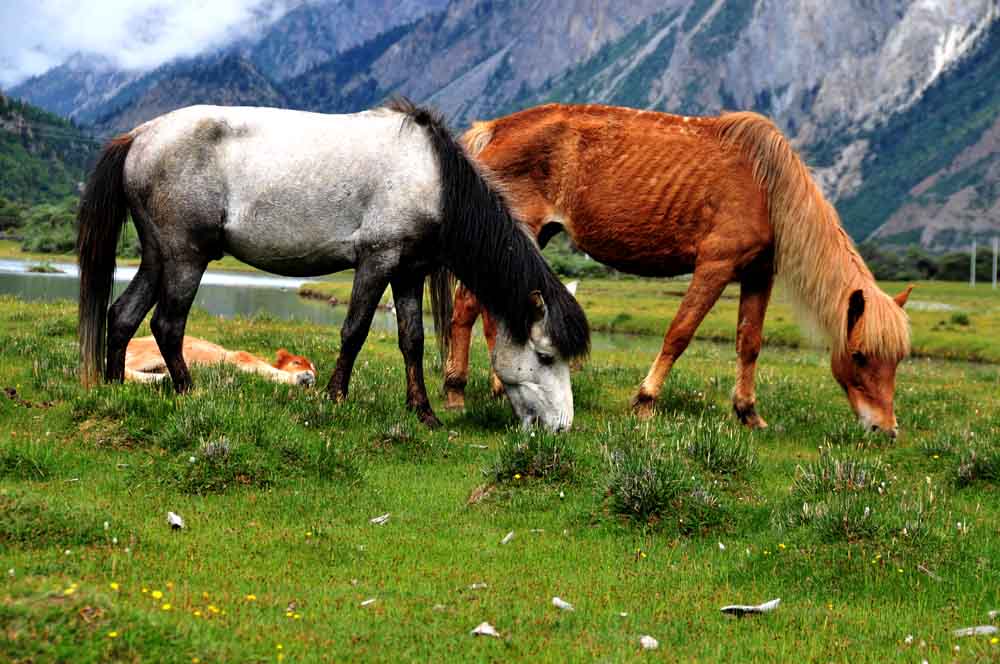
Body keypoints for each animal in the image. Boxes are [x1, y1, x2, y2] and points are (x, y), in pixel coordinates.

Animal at [80, 98, 592, 430]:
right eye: (545, 356)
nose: (561, 427)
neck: (433, 179)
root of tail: (140, 135)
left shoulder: (409, 271)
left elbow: (412, 340)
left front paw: (423, 412)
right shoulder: (377, 260)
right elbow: (355, 330)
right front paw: (336, 396)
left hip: (157, 256)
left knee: (122, 315)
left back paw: (115, 387)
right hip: (186, 256)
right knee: (167, 324)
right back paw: (188, 391)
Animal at [446, 102, 916, 436]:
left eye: (898, 359)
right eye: (859, 355)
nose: (885, 429)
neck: (766, 184)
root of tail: (496, 128)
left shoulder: (759, 274)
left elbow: (750, 343)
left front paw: (748, 412)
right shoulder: (715, 266)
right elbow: (680, 333)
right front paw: (645, 401)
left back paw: (493, 385)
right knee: (466, 307)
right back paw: (455, 393)